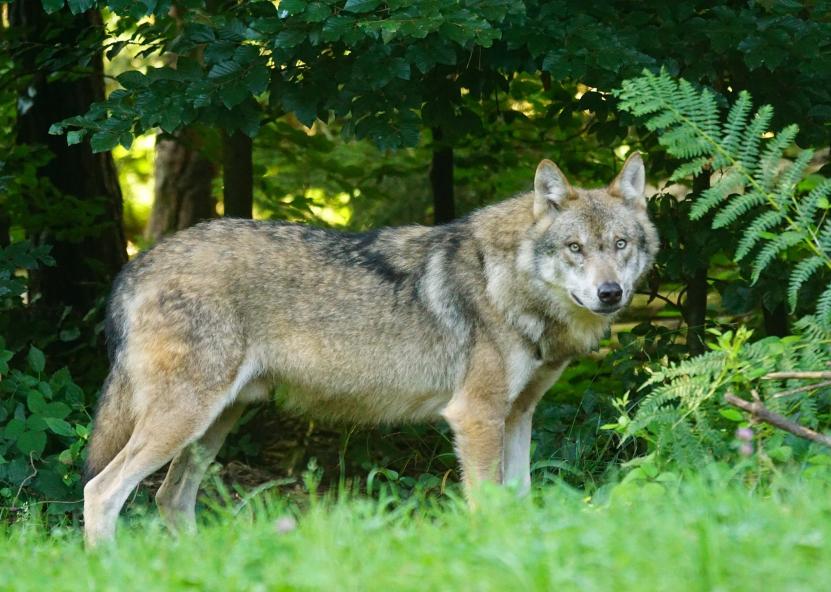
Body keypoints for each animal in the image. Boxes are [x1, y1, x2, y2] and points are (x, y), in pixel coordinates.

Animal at [81, 154, 660, 544]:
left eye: (620, 245)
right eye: (575, 248)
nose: (610, 293)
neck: (507, 282)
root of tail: (136, 264)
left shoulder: (518, 416)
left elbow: (519, 502)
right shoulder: (476, 417)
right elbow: (488, 506)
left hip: (213, 425)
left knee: (169, 498)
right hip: (185, 420)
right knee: (101, 492)